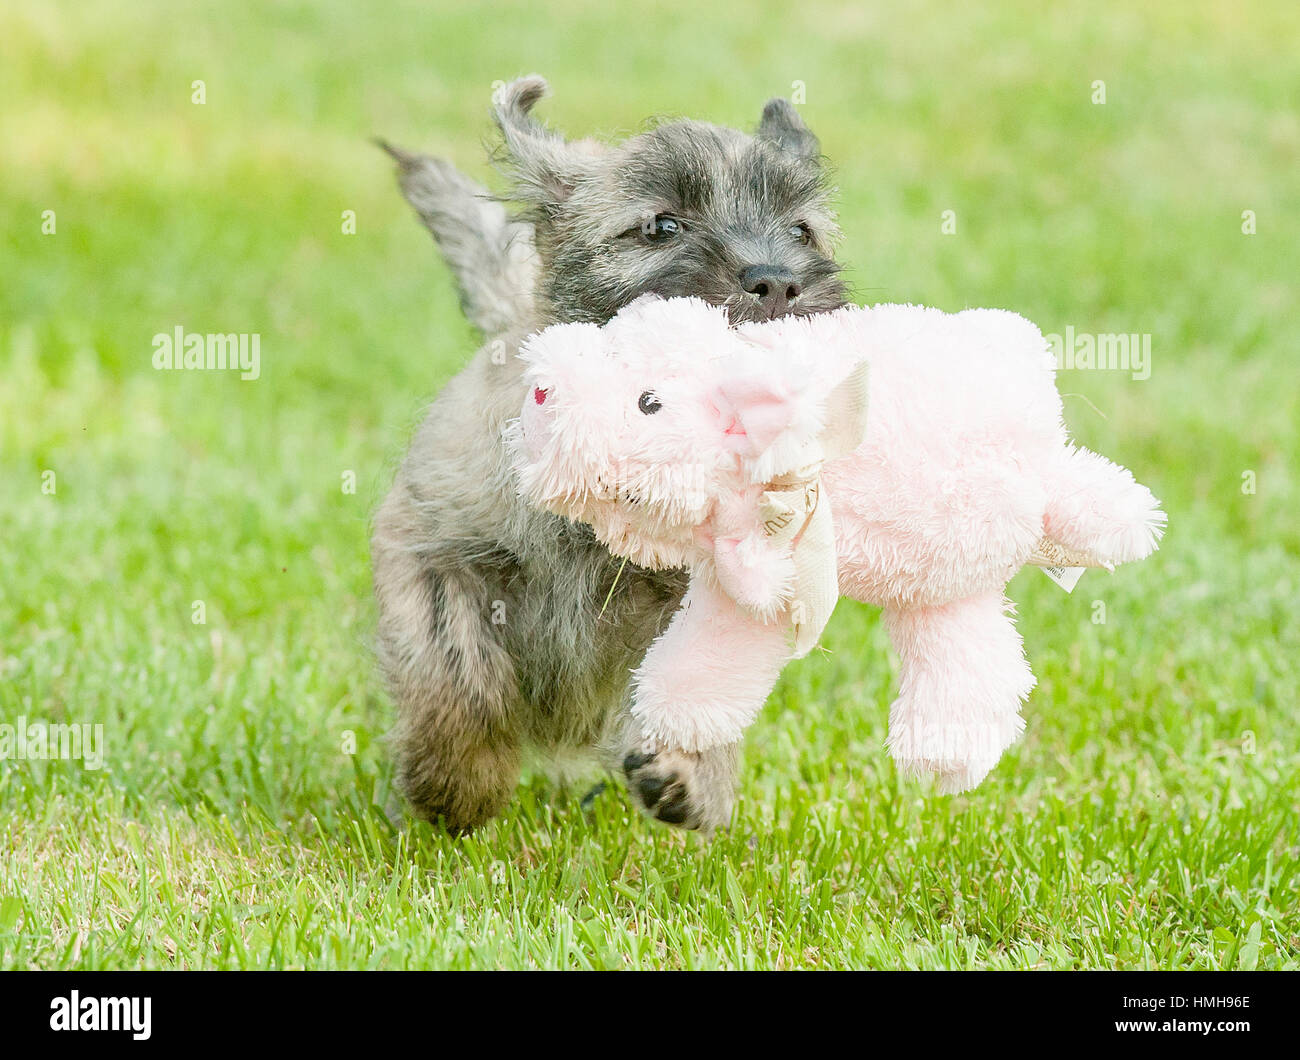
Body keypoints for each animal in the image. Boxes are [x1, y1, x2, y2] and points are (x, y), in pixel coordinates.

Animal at [371, 76, 847, 837]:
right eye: (661, 225)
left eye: (801, 231)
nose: (777, 281)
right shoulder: (435, 553)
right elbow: (458, 675)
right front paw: (456, 783)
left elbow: (698, 678)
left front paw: (688, 772)